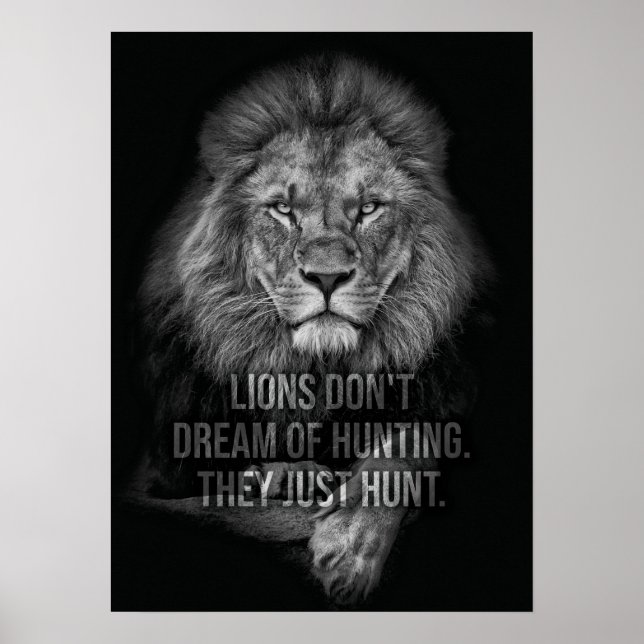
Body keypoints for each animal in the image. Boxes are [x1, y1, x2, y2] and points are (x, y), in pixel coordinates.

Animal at [134, 54, 493, 606]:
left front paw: (350, 545)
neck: (321, 373)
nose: (326, 277)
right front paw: (285, 478)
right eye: (284, 209)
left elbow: (412, 441)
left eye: (368, 208)